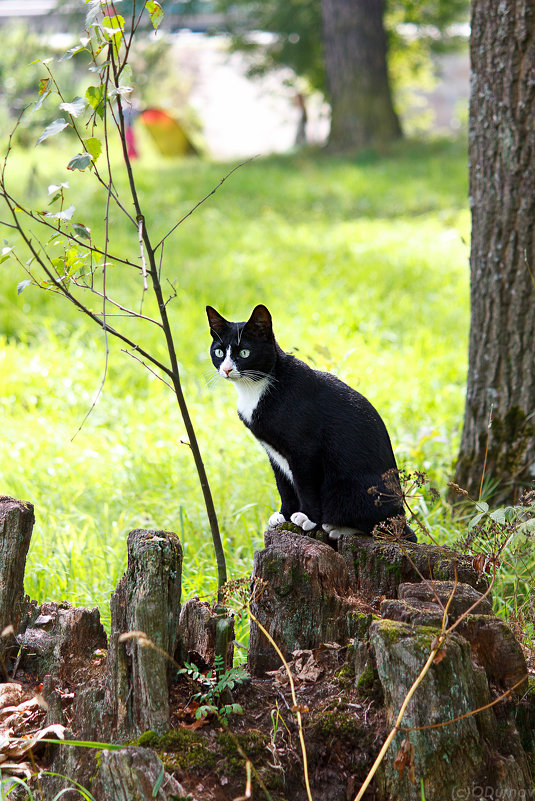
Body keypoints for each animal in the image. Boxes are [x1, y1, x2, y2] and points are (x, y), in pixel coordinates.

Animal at [207, 304, 416, 540]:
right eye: (219, 352)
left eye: (244, 353)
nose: (226, 369)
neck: (256, 389)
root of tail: (401, 514)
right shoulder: (273, 451)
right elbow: (284, 484)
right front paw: (284, 514)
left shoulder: (305, 450)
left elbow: (306, 485)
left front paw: (308, 517)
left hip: (351, 490)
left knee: (381, 526)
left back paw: (337, 527)